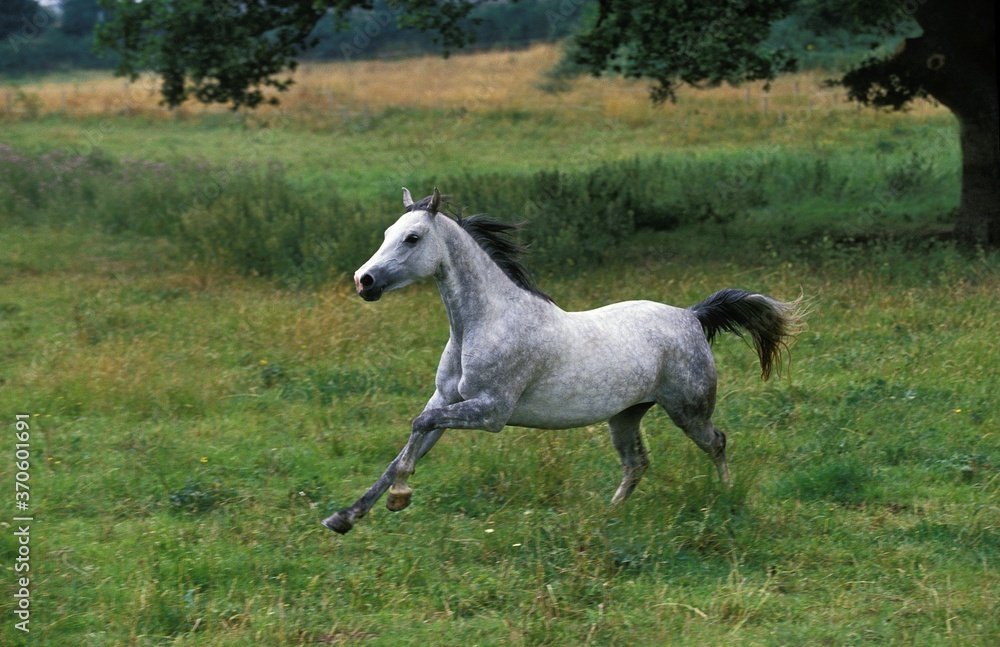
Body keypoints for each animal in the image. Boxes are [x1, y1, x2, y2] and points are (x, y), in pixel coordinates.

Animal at [324, 189, 800, 536]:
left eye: (413, 238)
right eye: (388, 232)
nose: (363, 281)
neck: (483, 324)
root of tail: (692, 316)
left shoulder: (491, 412)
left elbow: (417, 429)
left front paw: (399, 497)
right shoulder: (445, 401)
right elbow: (410, 441)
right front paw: (345, 517)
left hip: (689, 410)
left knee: (717, 442)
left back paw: (727, 498)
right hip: (625, 415)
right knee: (636, 463)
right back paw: (607, 516)